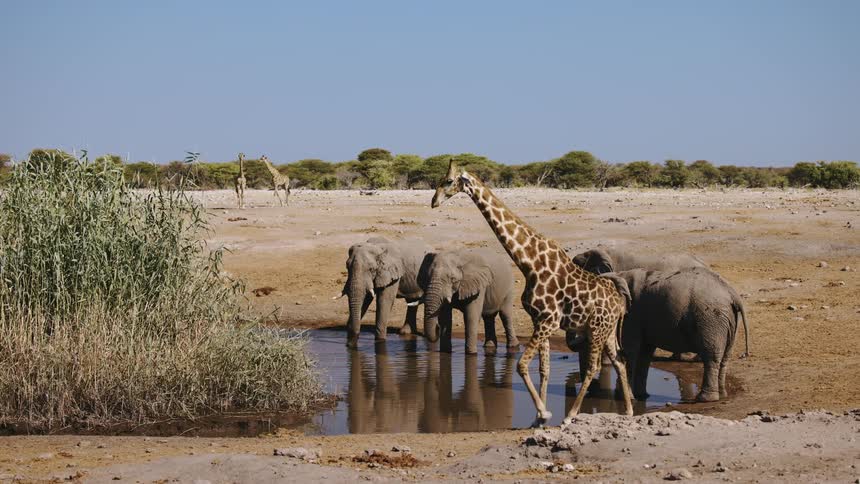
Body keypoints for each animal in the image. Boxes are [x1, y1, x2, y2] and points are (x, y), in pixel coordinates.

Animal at [432, 159, 633, 423]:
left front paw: (544, 411)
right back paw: (629, 411)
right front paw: (540, 415)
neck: (529, 263)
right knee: (620, 362)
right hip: (606, 331)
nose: (434, 201)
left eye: (448, 181)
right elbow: (543, 369)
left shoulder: (549, 320)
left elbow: (521, 365)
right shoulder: (540, 321)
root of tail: (619, 303)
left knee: (594, 367)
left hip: (597, 330)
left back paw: (571, 415)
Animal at [585, 267, 749, 402]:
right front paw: (641, 396)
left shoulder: (631, 316)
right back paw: (722, 395)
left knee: (711, 357)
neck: (618, 275)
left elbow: (629, 351)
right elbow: (644, 354)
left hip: (711, 319)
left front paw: (624, 398)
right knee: (725, 357)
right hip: (728, 320)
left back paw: (705, 399)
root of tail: (732, 294)